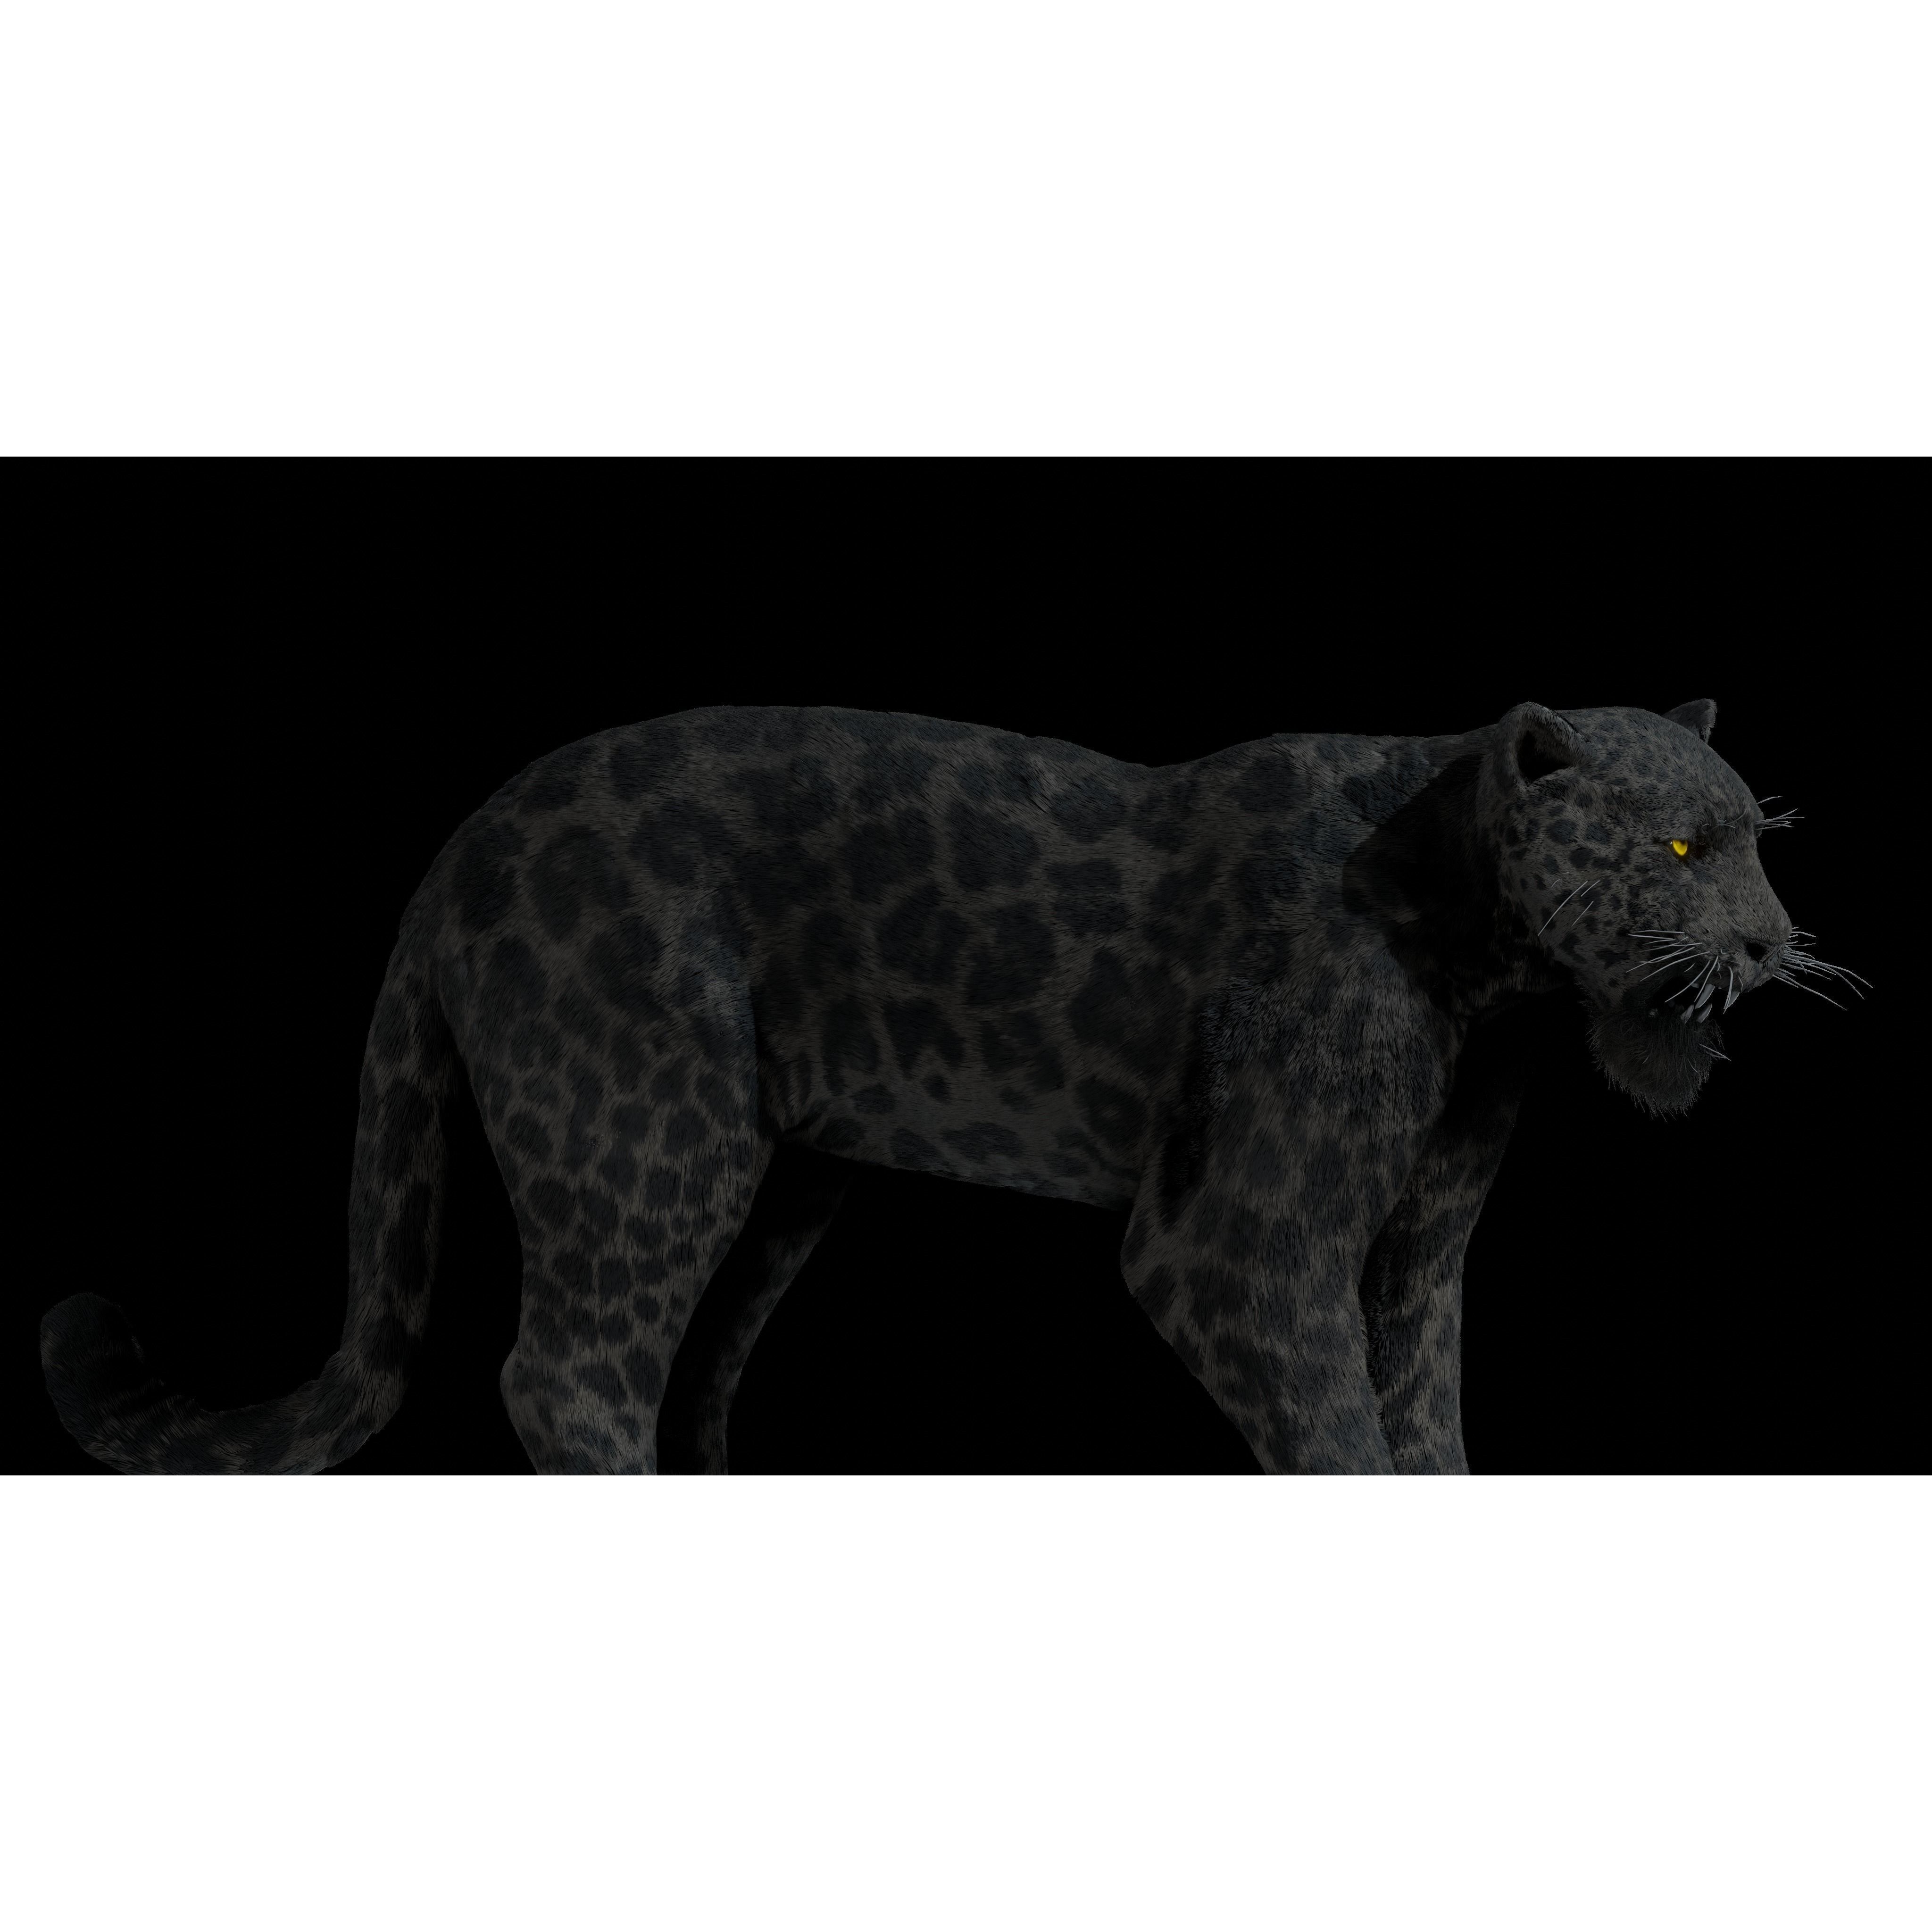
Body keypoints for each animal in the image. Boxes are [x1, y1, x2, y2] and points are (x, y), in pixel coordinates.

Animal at [42, 696, 1850, 1475]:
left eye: (1759, 837)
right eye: (1677, 850)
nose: (1773, 945)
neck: (1484, 964)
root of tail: (458, 845)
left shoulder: (1415, 1245)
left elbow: (1426, 1425)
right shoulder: (1235, 1248)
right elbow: (1340, 1432)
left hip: (787, 1182)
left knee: (687, 1370)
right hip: (646, 1134)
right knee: (564, 1370)